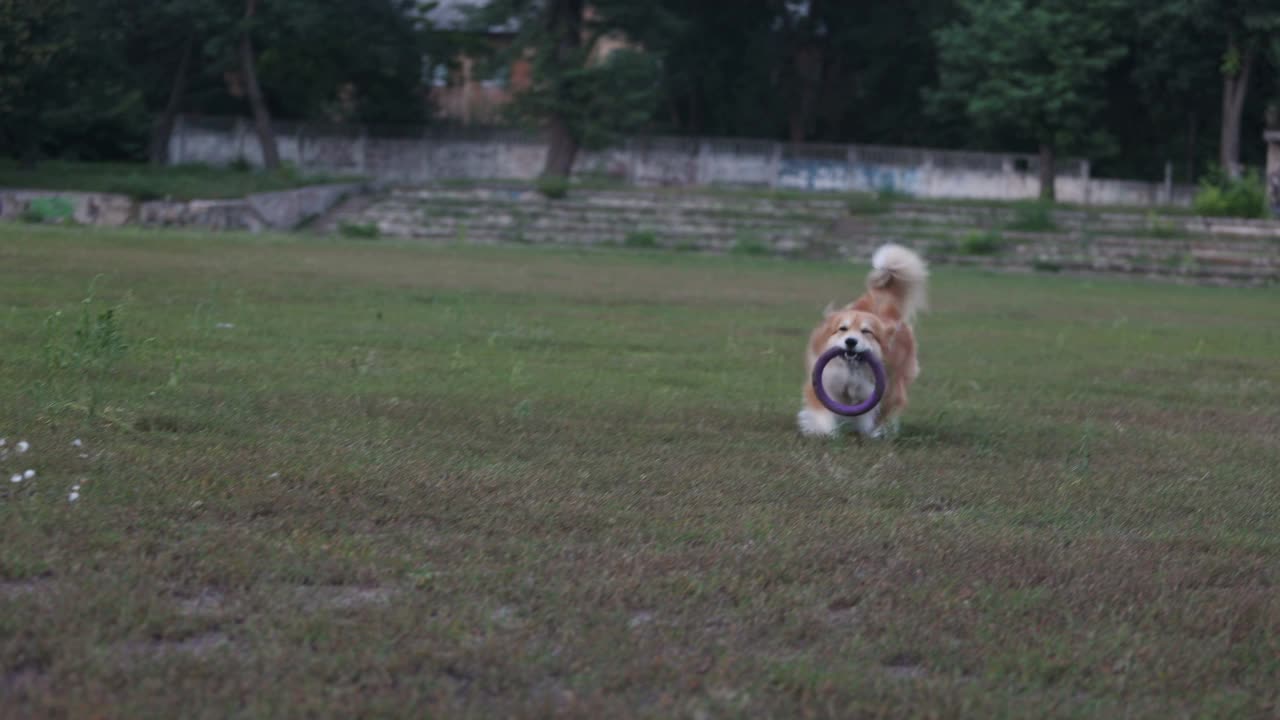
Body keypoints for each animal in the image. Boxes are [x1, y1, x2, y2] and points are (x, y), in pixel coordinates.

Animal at [793, 242, 926, 438]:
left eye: (866, 332)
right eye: (843, 329)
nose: (851, 341)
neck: (852, 369)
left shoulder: (876, 391)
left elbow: (872, 415)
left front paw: (871, 432)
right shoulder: (823, 384)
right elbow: (822, 412)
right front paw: (825, 432)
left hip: (896, 381)